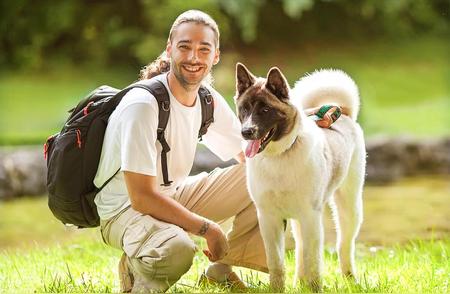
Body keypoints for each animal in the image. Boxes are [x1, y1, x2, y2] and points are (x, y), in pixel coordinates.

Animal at [236, 63, 366, 290]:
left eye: (265, 110)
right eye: (244, 108)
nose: (246, 132)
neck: (279, 157)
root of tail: (344, 112)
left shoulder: (310, 217)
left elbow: (313, 260)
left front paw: (314, 288)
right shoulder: (269, 219)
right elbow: (276, 262)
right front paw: (277, 290)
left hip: (348, 208)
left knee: (344, 245)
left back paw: (350, 279)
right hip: (298, 221)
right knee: (300, 249)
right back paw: (300, 281)